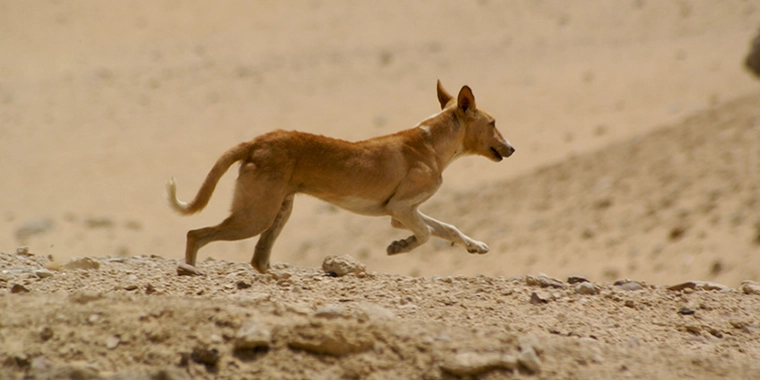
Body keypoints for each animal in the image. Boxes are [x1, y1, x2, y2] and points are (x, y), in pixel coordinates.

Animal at [167, 81, 516, 274]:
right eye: (493, 123)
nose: (512, 148)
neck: (432, 141)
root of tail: (256, 141)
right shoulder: (400, 209)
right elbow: (427, 234)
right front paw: (398, 247)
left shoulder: (404, 212)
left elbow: (447, 228)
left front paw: (475, 246)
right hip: (256, 215)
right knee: (195, 234)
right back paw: (190, 271)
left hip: (278, 210)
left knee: (258, 258)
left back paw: (277, 278)